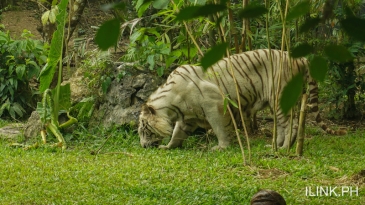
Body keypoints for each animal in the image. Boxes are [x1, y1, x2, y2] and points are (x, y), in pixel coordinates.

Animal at [138, 49, 346, 150]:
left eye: (143, 130)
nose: (143, 146)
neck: (172, 107)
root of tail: (300, 58)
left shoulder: (214, 105)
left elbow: (220, 129)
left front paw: (221, 147)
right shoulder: (186, 119)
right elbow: (177, 134)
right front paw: (167, 147)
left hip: (279, 97)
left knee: (290, 125)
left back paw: (285, 148)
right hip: (277, 102)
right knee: (283, 125)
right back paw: (276, 146)